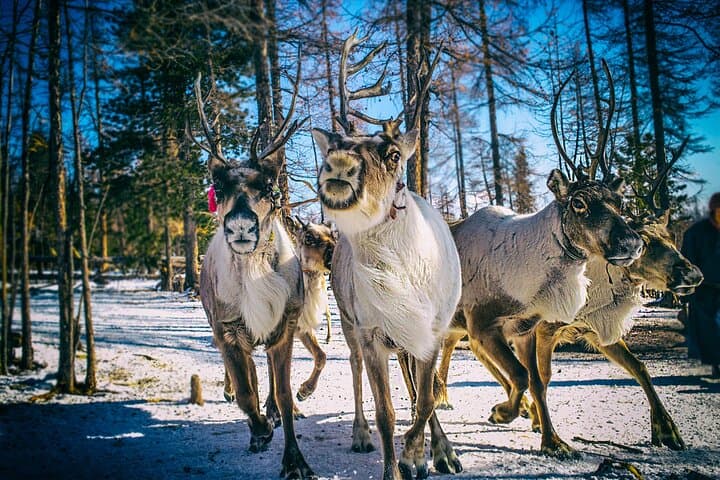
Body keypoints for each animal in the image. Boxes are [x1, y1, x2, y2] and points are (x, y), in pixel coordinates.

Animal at [191, 68, 316, 479]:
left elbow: (284, 392)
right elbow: (247, 393)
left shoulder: (285, 326)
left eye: (269, 184)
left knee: (270, 382)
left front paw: (295, 461)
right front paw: (259, 431)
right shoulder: (227, 328)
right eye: (218, 185)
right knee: (246, 379)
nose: (241, 226)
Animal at [312, 32, 463, 480]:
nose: (337, 165)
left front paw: (424, 455)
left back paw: (438, 449)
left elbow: (426, 399)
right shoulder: (372, 332)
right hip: (349, 325)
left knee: (415, 388)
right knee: (355, 370)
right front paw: (397, 465)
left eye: (394, 154)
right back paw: (359, 434)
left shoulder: (431, 330)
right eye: (336, 146)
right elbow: (386, 413)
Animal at [433, 62, 644, 459]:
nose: (631, 242)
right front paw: (503, 413)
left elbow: (536, 380)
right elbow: (520, 375)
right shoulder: (482, 322)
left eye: (619, 201)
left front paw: (552, 440)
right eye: (579, 202)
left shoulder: (524, 329)